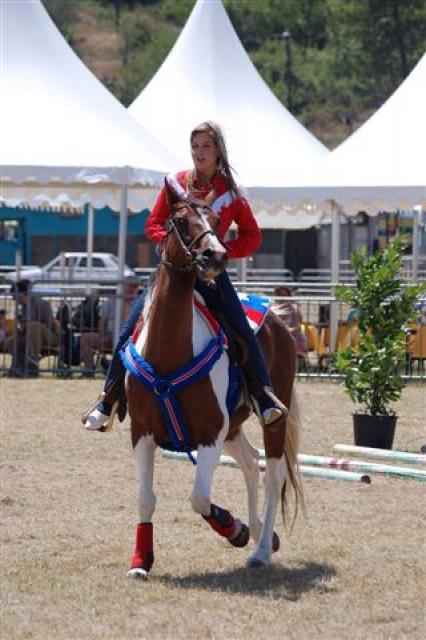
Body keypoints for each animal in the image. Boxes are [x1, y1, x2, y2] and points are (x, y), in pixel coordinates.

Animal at [121, 186, 302, 580]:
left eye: (218, 221)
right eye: (180, 219)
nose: (215, 255)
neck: (169, 350)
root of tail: (278, 319)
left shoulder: (209, 434)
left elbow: (200, 498)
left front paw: (234, 529)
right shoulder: (142, 432)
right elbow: (145, 499)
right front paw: (140, 562)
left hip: (271, 420)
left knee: (273, 474)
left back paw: (260, 549)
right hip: (233, 428)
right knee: (251, 463)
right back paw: (264, 534)